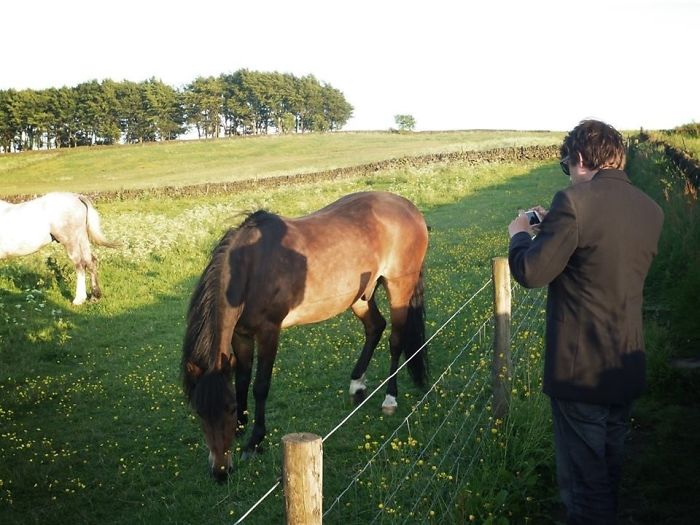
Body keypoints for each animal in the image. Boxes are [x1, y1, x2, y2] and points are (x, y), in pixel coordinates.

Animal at [183, 190, 430, 482]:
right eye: (199, 412)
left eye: (229, 409)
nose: (221, 472)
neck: (250, 269)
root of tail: (409, 208)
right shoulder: (241, 335)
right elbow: (242, 379)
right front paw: (243, 428)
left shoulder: (269, 332)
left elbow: (260, 386)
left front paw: (254, 442)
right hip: (359, 295)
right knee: (375, 327)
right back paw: (357, 385)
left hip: (400, 286)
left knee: (395, 341)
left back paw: (389, 399)